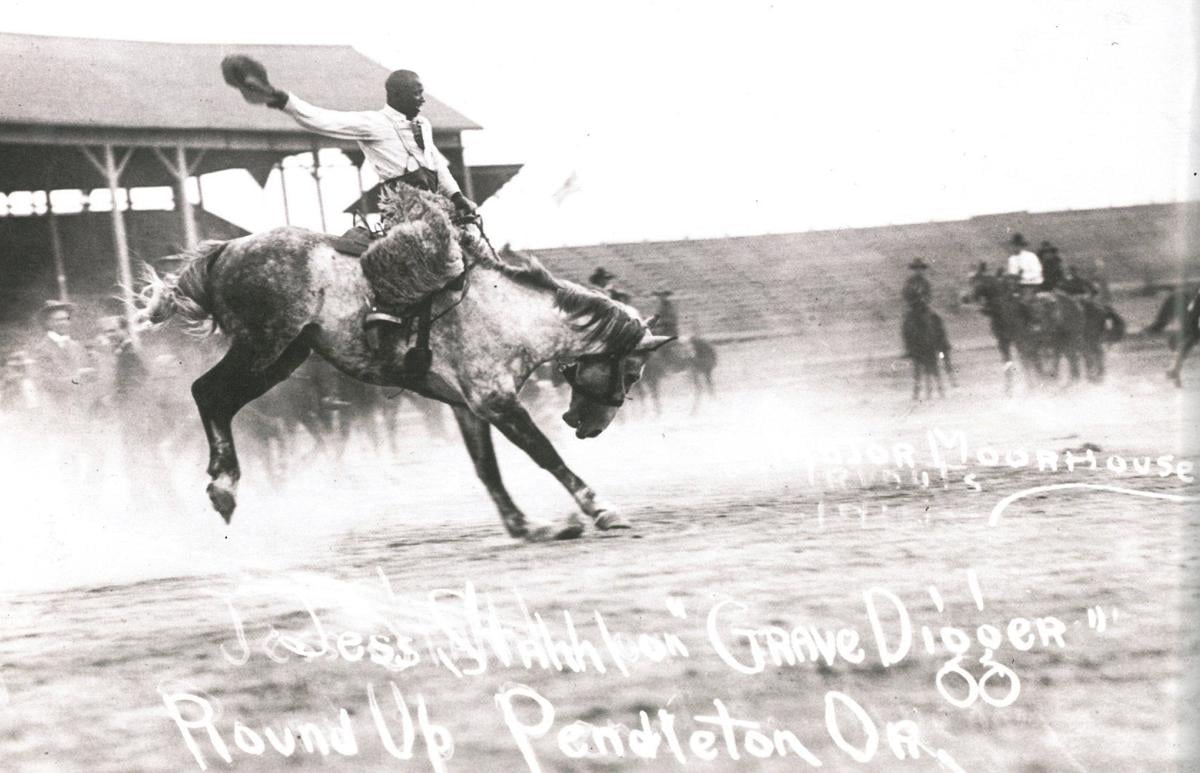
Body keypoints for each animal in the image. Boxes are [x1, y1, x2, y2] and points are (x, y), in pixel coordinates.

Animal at [139, 192, 676, 542]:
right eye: (632, 372)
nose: (584, 423)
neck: (512, 314)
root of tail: (225, 249)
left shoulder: (467, 407)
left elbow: (487, 470)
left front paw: (528, 525)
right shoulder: (496, 401)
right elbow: (545, 454)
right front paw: (601, 509)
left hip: (284, 355)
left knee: (219, 401)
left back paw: (222, 486)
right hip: (262, 346)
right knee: (207, 393)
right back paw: (223, 487)